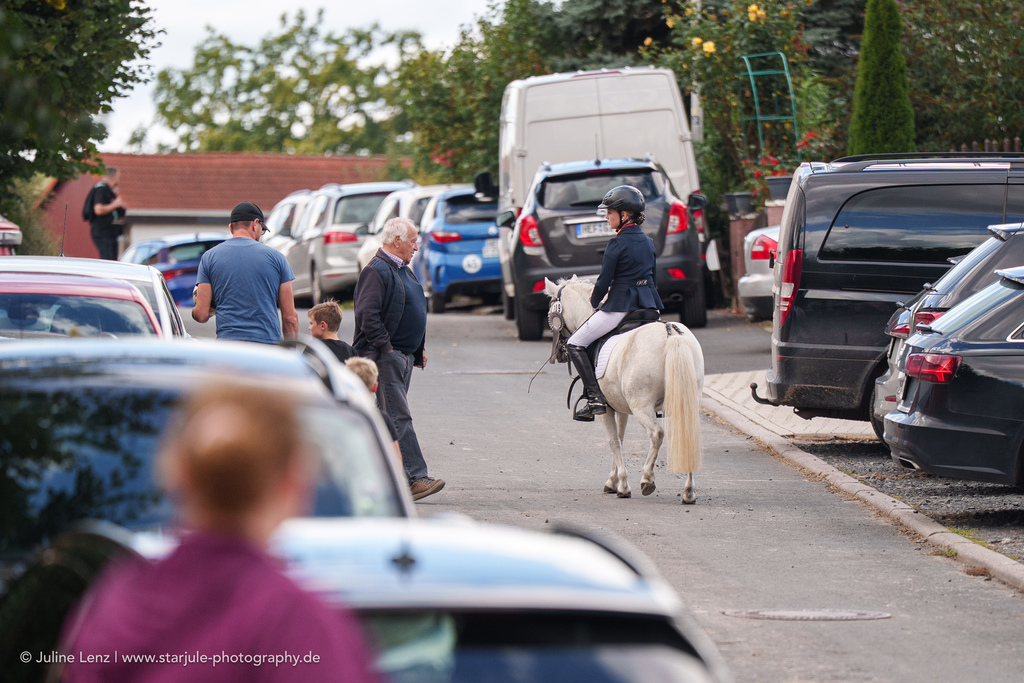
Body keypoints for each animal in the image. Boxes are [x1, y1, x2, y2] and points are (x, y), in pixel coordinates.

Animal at [544, 276, 705, 504]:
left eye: (551, 312)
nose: (559, 354)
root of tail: (671, 333)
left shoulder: (605, 409)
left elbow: (614, 442)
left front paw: (622, 486)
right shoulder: (619, 407)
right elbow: (620, 438)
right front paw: (613, 482)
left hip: (642, 406)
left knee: (656, 434)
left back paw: (647, 479)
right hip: (686, 400)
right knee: (688, 434)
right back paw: (689, 492)